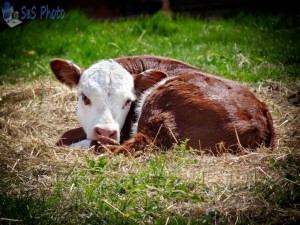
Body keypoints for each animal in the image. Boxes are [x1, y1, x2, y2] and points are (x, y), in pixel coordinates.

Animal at [50, 55, 276, 156]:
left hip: (160, 104)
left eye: (128, 101)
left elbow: (63, 138)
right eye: (85, 97)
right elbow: (65, 134)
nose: (105, 132)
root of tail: (260, 119)